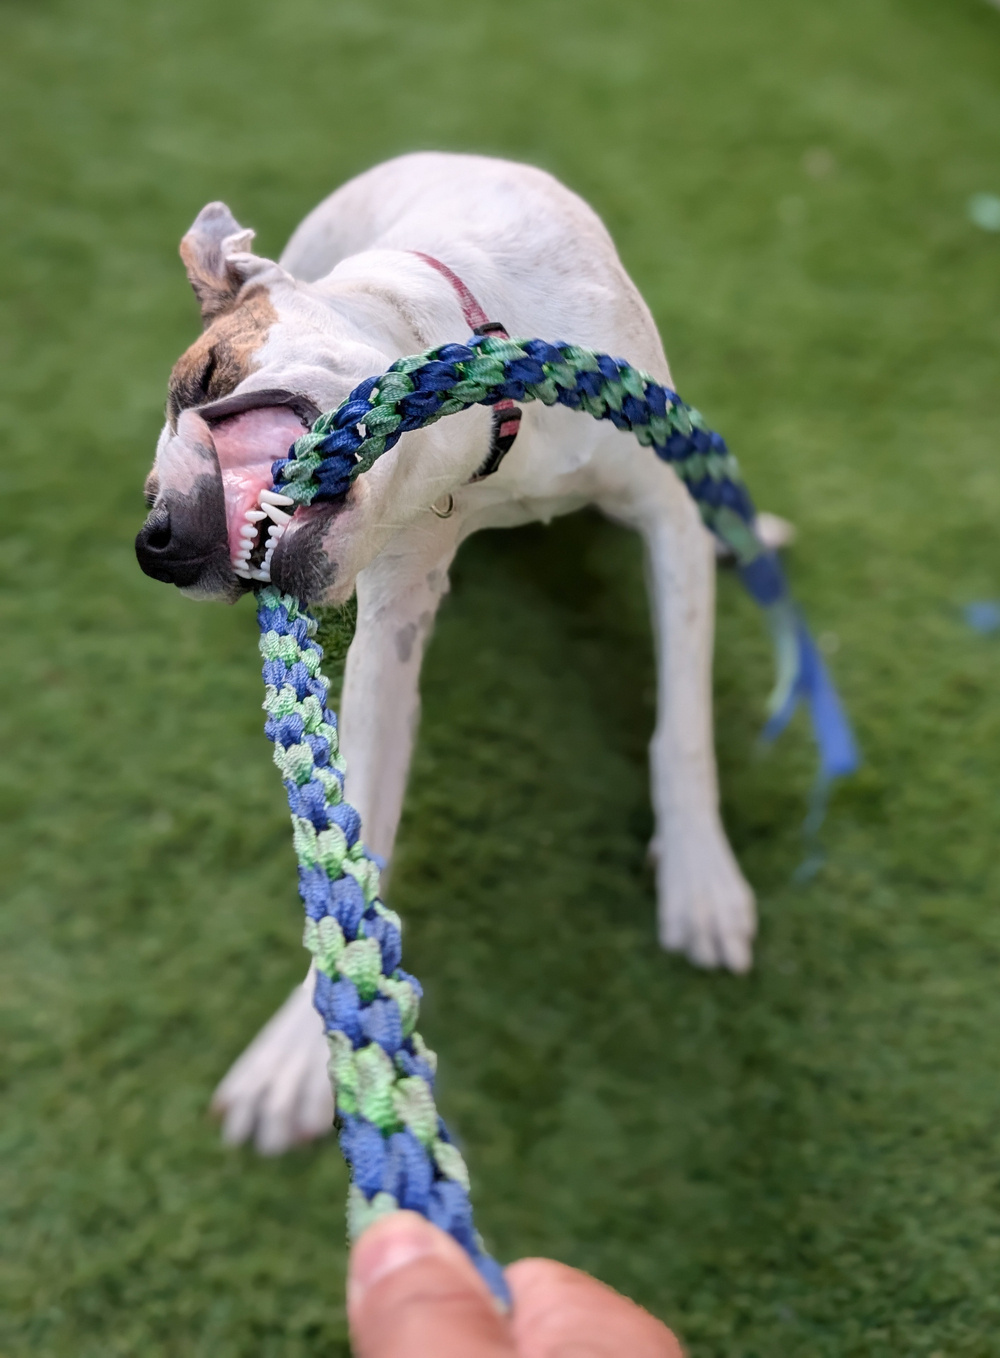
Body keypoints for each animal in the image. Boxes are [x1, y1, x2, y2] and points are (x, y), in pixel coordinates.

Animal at [138, 151, 788, 1157]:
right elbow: (355, 840)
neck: (482, 430)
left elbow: (681, 726)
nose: (155, 542)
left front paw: (701, 880)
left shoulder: (663, 509)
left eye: (207, 373)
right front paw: (306, 1048)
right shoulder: (393, 620)